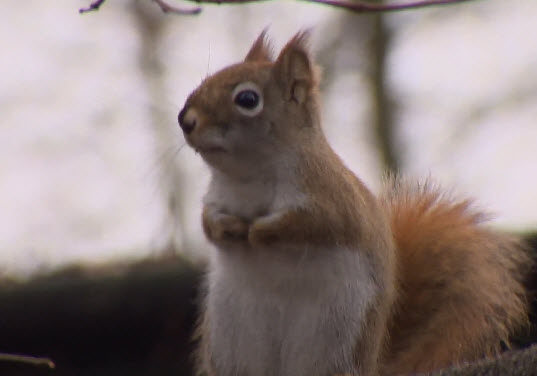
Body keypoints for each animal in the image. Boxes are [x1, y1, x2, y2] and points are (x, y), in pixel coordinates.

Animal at [177, 30, 532, 374]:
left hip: (333, 339)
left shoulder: (332, 200)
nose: (185, 120)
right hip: (231, 342)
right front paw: (227, 227)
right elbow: (207, 221)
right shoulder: (216, 197)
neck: (249, 177)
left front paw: (261, 231)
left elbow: (311, 226)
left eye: (248, 99)